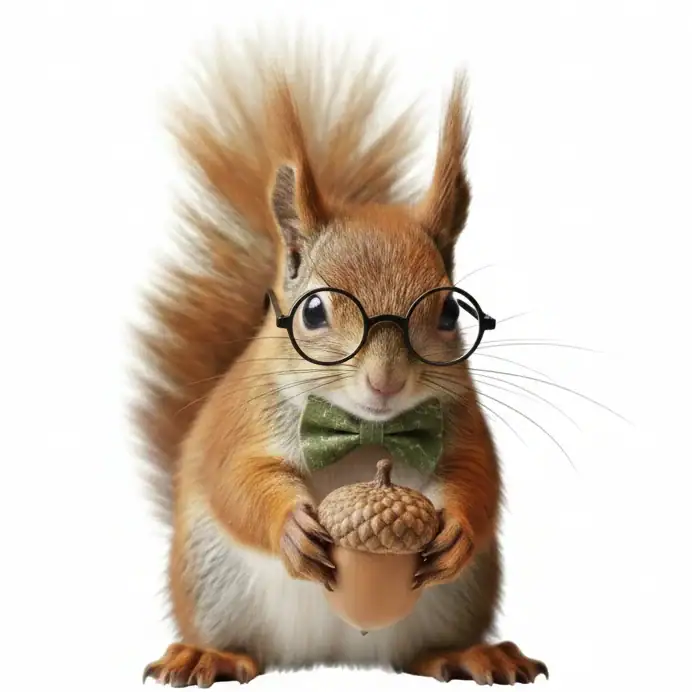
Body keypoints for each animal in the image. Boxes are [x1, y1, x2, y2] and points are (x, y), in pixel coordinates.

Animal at [134, 37, 549, 687]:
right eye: (313, 313)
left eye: (449, 312)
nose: (386, 380)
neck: (365, 432)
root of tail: (337, 653)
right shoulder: (241, 421)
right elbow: (236, 478)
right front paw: (290, 527)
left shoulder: (465, 424)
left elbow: (479, 476)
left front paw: (457, 526)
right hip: (212, 584)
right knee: (241, 644)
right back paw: (211, 655)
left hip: (459, 598)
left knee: (422, 654)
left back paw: (469, 654)